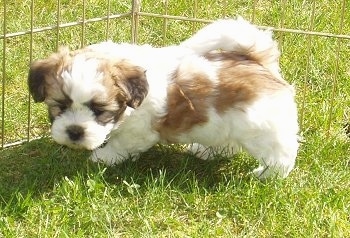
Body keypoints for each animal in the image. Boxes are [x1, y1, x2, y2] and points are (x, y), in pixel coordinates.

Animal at [28, 17, 300, 178]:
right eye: (59, 106)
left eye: (99, 110)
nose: (74, 131)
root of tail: (257, 61)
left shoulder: (139, 130)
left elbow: (122, 144)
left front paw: (103, 157)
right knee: (230, 143)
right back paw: (205, 151)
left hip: (260, 126)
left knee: (281, 152)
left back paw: (268, 175)